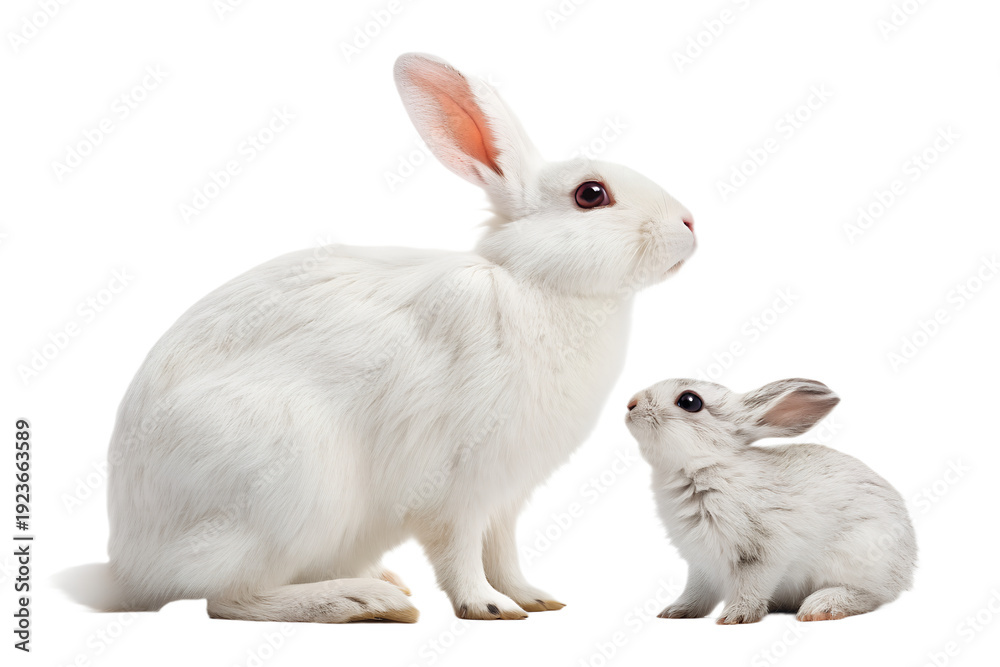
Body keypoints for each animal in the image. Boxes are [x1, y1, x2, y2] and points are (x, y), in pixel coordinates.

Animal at [57, 53, 696, 623]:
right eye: (592, 194)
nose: (690, 223)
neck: (536, 283)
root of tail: (133, 566)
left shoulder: (506, 496)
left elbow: (503, 552)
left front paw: (534, 598)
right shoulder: (459, 486)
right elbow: (462, 552)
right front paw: (488, 607)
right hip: (285, 484)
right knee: (230, 599)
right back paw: (364, 601)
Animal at [625, 378, 916, 624]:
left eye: (689, 401)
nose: (630, 404)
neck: (704, 467)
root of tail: (907, 568)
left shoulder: (762, 554)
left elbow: (751, 586)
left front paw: (735, 616)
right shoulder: (702, 564)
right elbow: (697, 593)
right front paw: (675, 612)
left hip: (858, 555)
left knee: (869, 595)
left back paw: (820, 607)